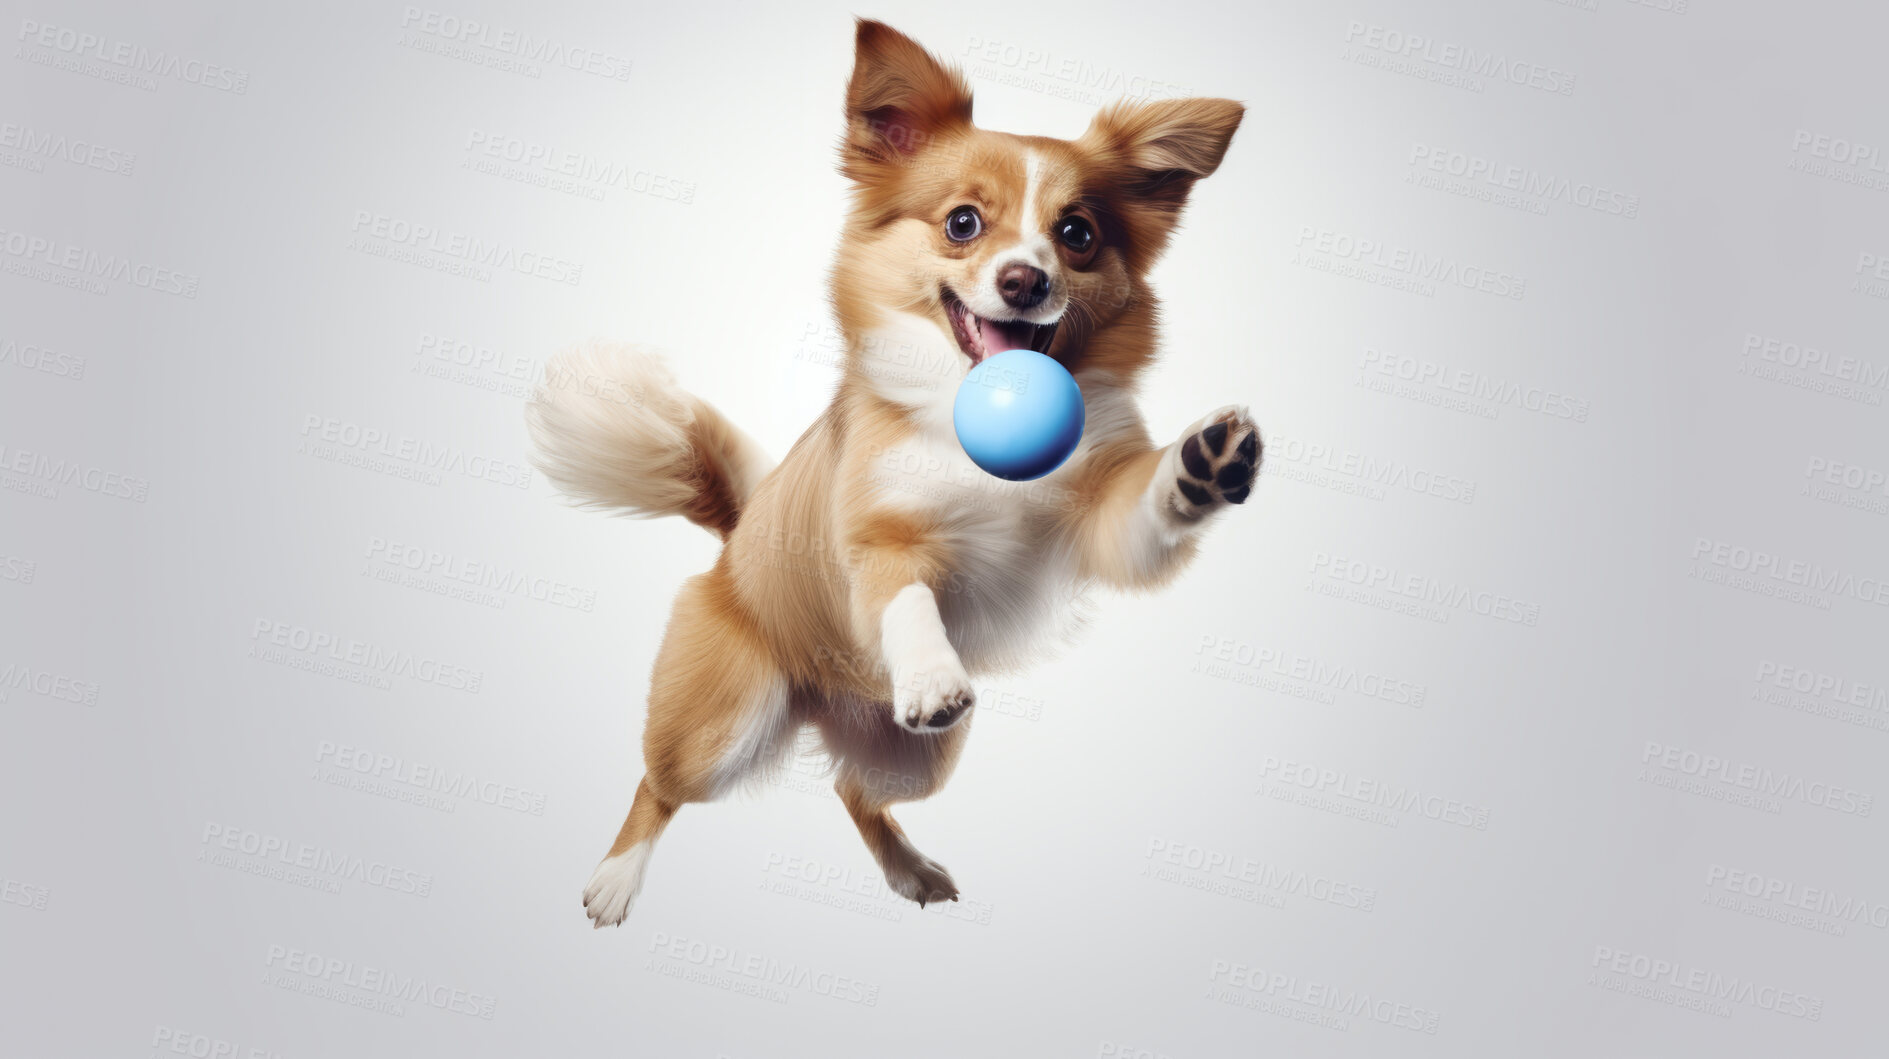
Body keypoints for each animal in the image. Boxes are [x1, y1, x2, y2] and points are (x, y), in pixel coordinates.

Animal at [525, 18, 1261, 924]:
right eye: (962, 223)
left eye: (1078, 234)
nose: (1026, 279)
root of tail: (736, 534)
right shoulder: (876, 538)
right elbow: (906, 593)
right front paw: (932, 673)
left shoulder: (1098, 524)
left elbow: (1144, 505)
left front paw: (1201, 466)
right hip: (720, 720)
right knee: (659, 784)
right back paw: (615, 877)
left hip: (921, 761)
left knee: (855, 791)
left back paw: (908, 867)